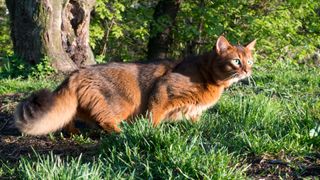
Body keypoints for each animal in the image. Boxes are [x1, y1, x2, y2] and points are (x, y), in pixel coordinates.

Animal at [15, 35, 256, 135]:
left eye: (250, 61)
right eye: (236, 61)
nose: (247, 70)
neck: (208, 76)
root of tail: (75, 74)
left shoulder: (194, 110)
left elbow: (196, 119)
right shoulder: (161, 92)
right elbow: (154, 117)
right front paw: (152, 133)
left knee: (69, 116)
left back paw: (73, 132)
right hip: (122, 103)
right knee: (105, 120)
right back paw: (122, 133)